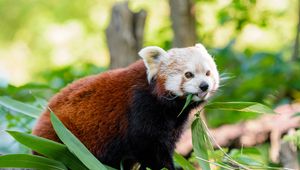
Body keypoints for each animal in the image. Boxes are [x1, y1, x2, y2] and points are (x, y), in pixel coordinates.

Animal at [32, 43, 219, 170]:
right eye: (188, 74)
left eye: (208, 73)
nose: (204, 86)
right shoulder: (140, 107)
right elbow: (148, 148)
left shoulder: (174, 122)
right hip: (60, 140)